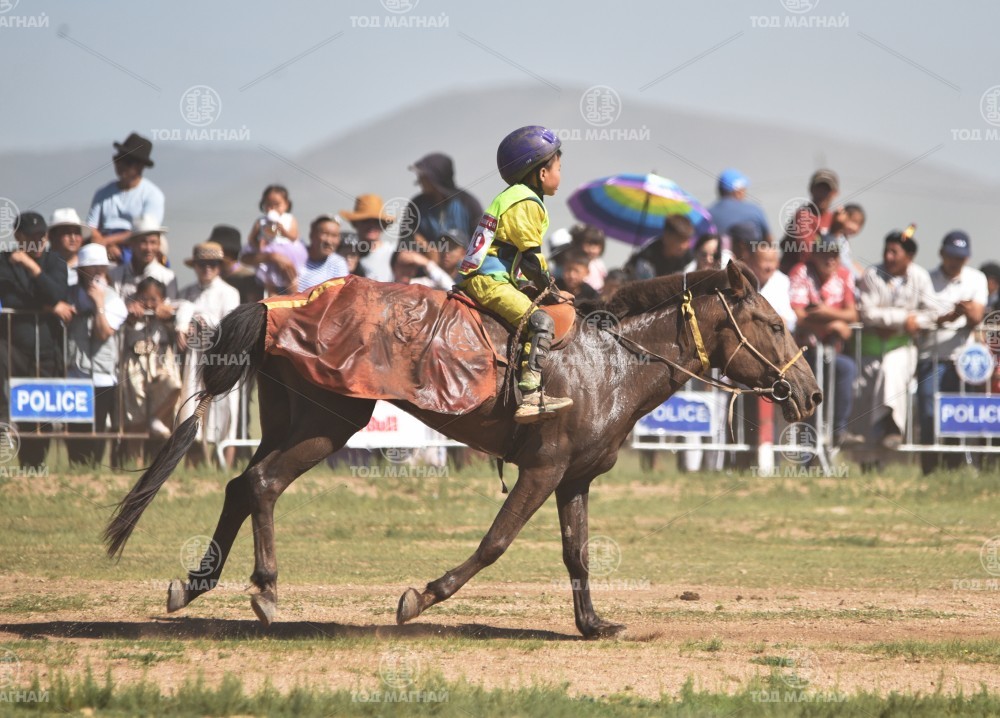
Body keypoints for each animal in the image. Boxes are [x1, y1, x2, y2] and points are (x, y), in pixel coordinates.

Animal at [104, 261, 821, 639]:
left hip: (288, 421)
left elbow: (578, 554)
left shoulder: (575, 480)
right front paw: (422, 596)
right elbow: (495, 542)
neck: (608, 361)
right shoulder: (543, 469)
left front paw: (593, 623)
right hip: (326, 424)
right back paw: (266, 590)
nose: (811, 392)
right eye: (774, 323)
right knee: (261, 485)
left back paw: (195, 583)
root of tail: (283, 302)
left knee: (240, 484)